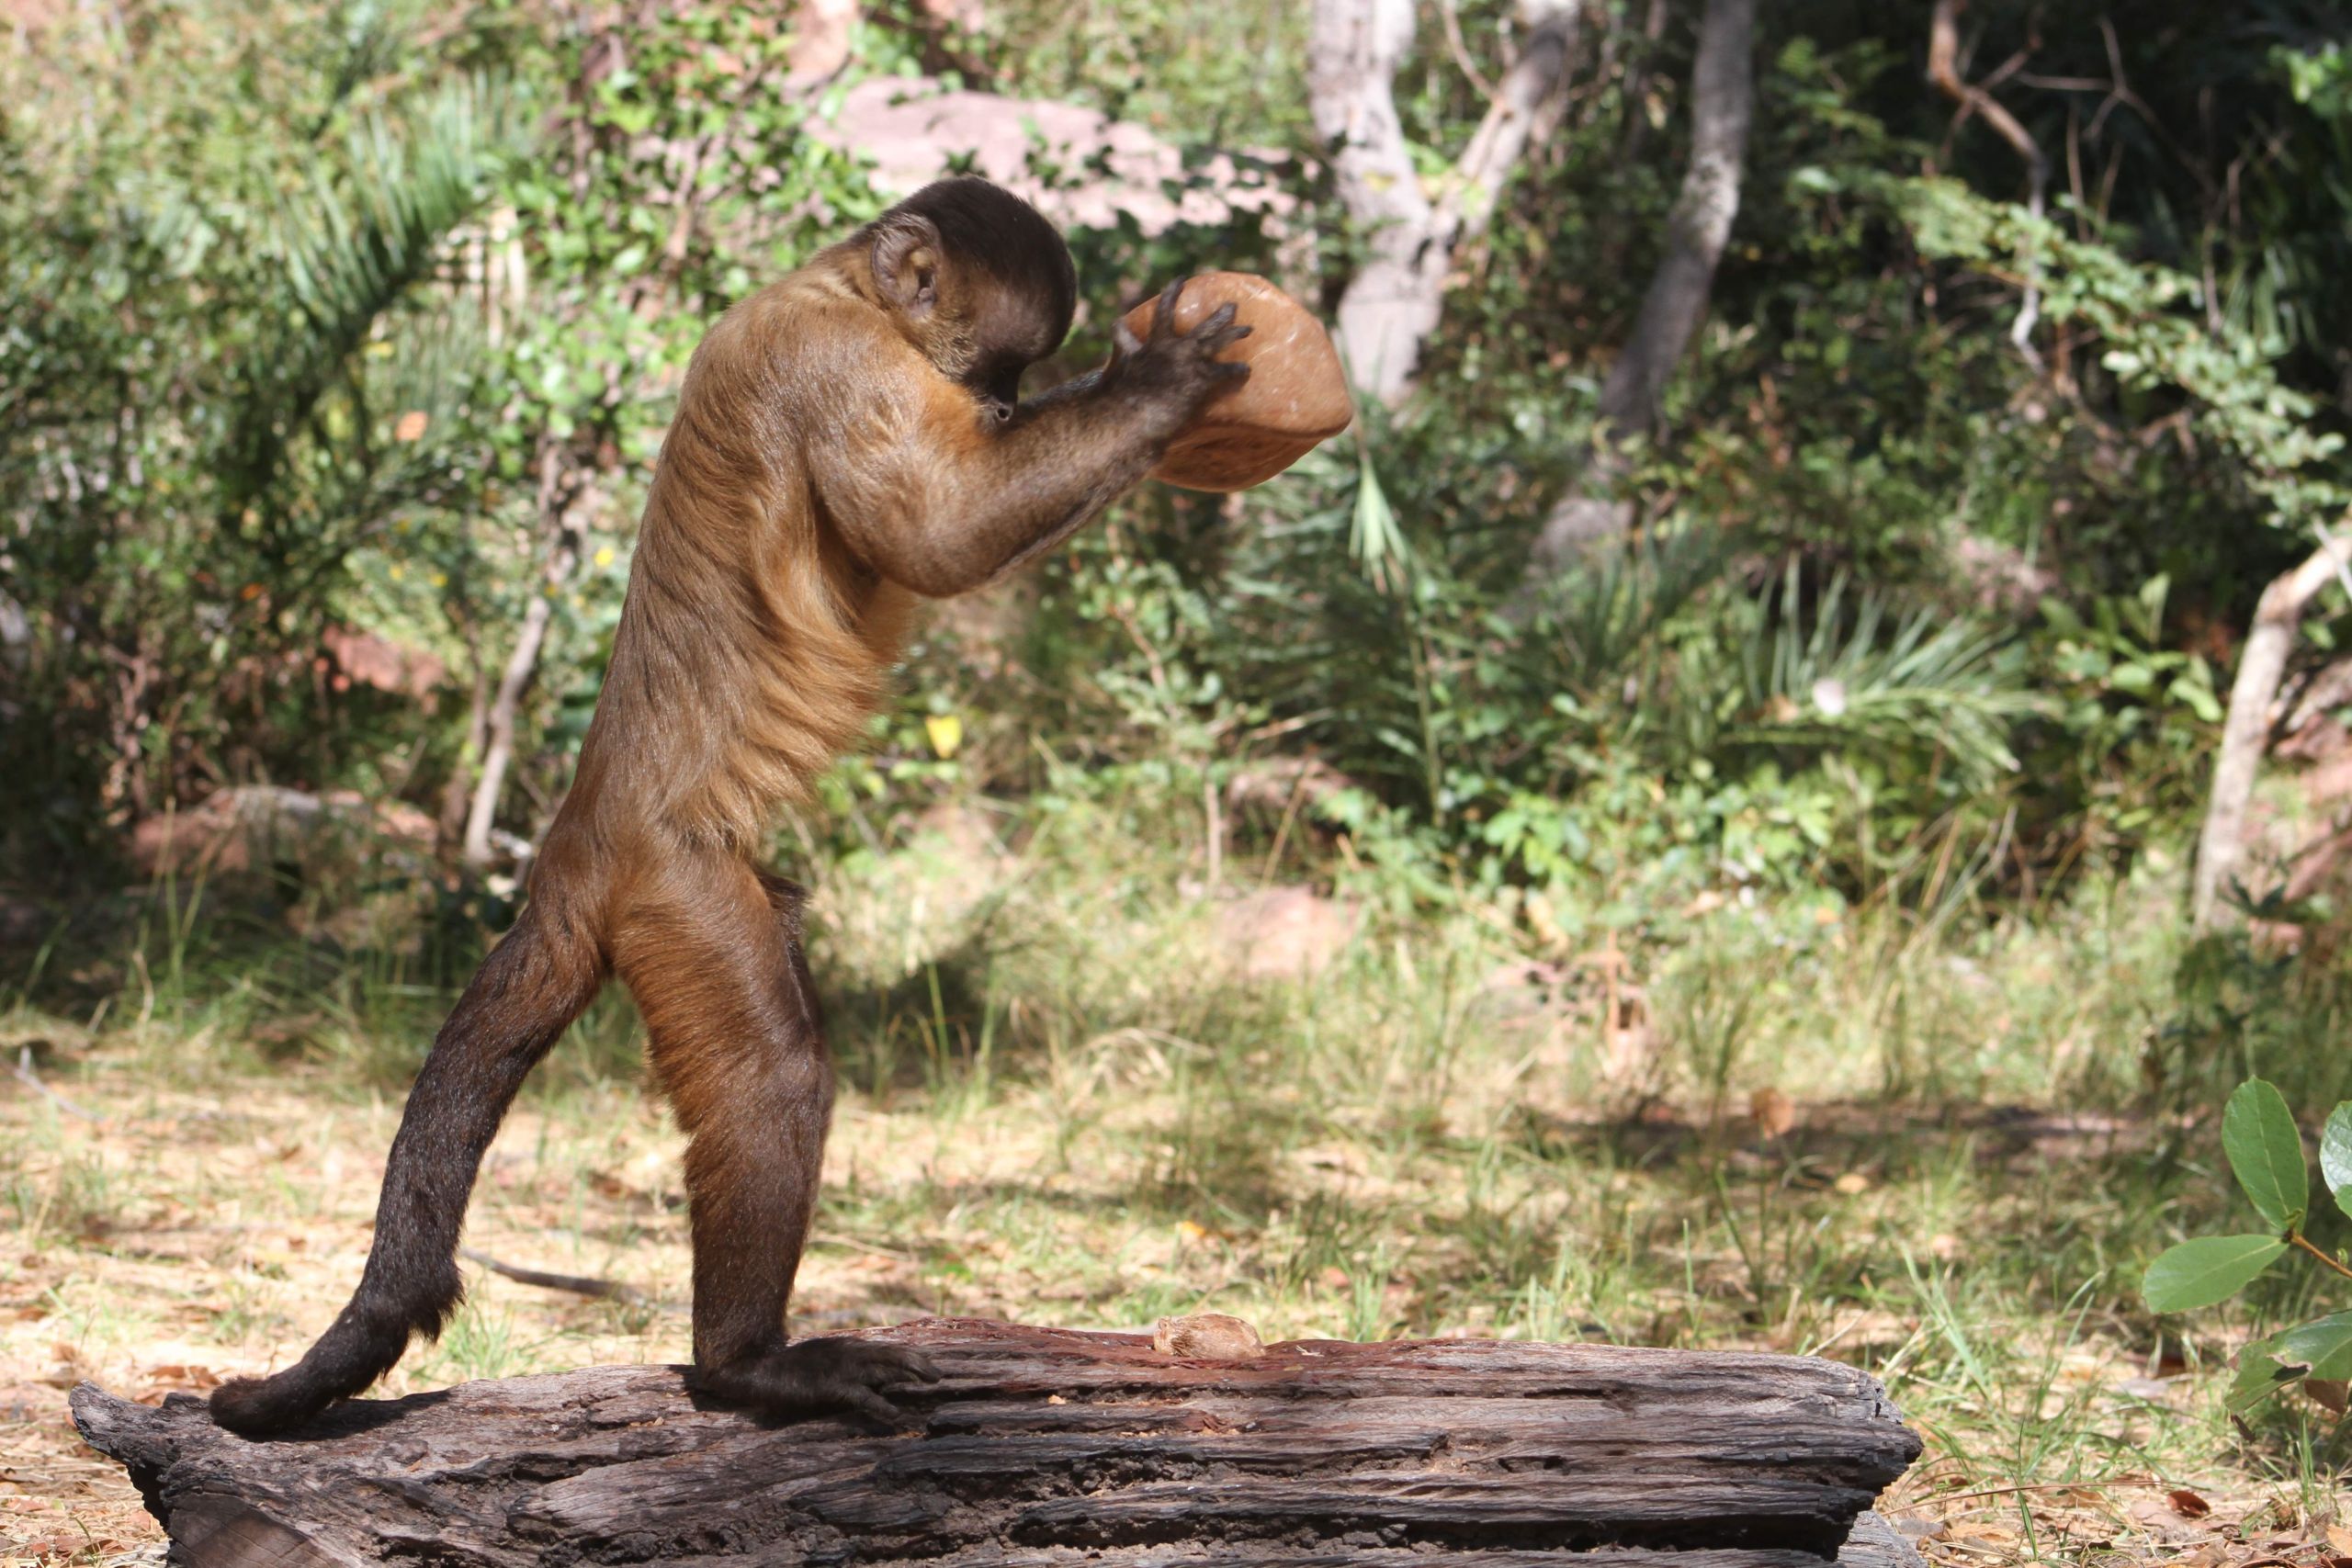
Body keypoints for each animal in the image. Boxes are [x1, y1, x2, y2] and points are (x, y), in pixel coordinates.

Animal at [211, 181, 1261, 1438]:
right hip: (676, 888)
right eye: (999, 369)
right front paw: (1155, 391)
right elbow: (941, 539)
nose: (1008, 406)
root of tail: (571, 841)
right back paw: (744, 1366)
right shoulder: (838, 361)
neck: (830, 284)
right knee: (774, 1074)